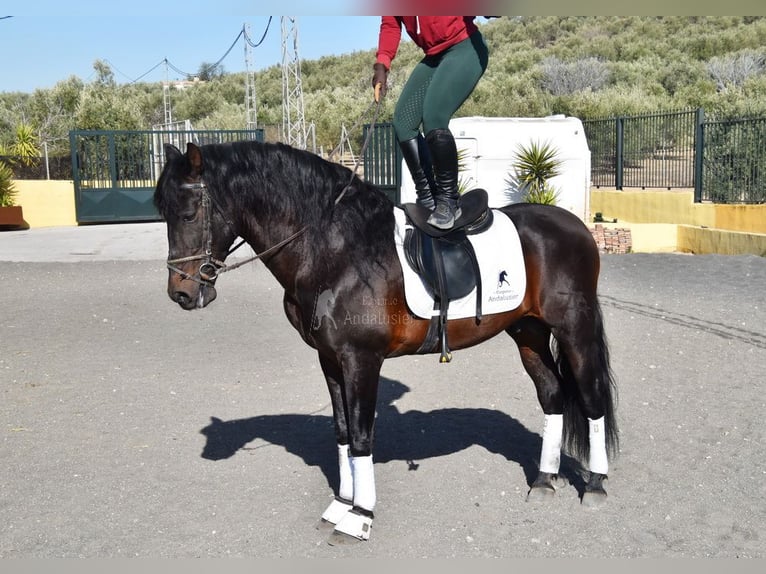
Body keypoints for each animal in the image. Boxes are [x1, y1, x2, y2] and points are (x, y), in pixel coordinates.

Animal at [153, 140, 620, 544]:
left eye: (190, 213)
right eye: (163, 212)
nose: (181, 293)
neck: (335, 251)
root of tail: (574, 226)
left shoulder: (361, 359)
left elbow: (362, 435)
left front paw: (360, 516)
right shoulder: (329, 359)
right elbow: (342, 430)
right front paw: (342, 503)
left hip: (574, 329)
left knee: (591, 398)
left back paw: (596, 483)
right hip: (528, 331)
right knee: (553, 394)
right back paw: (544, 479)